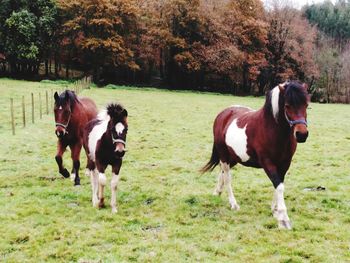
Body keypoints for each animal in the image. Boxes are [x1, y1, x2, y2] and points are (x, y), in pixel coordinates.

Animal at [201, 81, 310, 230]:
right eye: (287, 105)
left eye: (306, 105)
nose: (302, 134)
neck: (272, 130)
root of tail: (223, 114)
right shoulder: (268, 163)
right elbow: (279, 186)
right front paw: (283, 219)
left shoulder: (284, 164)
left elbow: (279, 185)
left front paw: (275, 210)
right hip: (224, 156)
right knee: (227, 177)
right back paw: (233, 204)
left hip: (234, 157)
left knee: (222, 173)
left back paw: (217, 193)